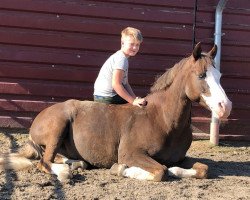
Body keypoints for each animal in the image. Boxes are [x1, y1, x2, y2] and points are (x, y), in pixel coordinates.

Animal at [0, 43, 231, 182]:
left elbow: (202, 169)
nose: (225, 106)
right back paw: (66, 172)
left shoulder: (181, 158)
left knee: (58, 158)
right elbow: (160, 171)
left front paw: (176, 170)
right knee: (44, 162)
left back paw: (77, 164)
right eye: (201, 75)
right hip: (58, 127)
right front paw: (120, 169)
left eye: (219, 75)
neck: (162, 120)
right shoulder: (131, 154)